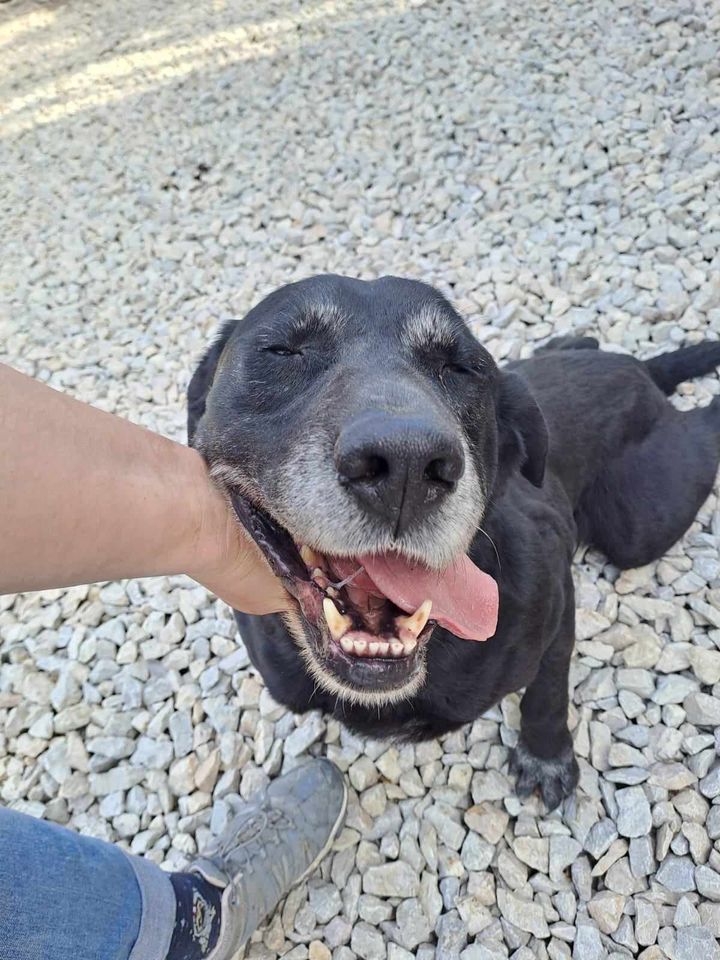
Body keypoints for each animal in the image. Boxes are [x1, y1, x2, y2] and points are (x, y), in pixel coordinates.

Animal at [188, 272, 720, 808]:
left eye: (460, 368)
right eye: (282, 351)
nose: (406, 464)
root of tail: (638, 367)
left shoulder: (555, 584)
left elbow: (548, 687)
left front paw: (545, 752)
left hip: (641, 522)